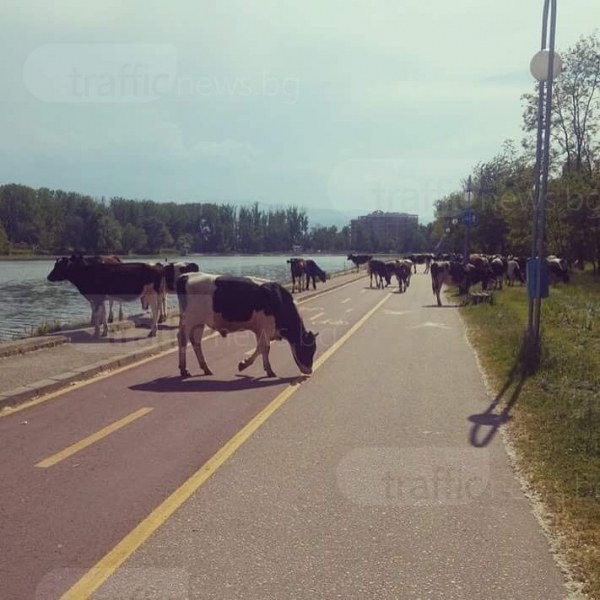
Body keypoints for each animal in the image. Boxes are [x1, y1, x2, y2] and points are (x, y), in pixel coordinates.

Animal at [175, 274, 318, 378]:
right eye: (308, 349)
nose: (309, 371)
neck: (279, 301)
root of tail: (187, 276)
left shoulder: (260, 330)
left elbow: (263, 349)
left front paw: (267, 369)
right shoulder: (266, 328)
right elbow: (263, 348)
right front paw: (244, 364)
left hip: (198, 323)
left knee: (195, 342)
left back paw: (205, 368)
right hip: (190, 320)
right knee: (183, 340)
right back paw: (184, 370)